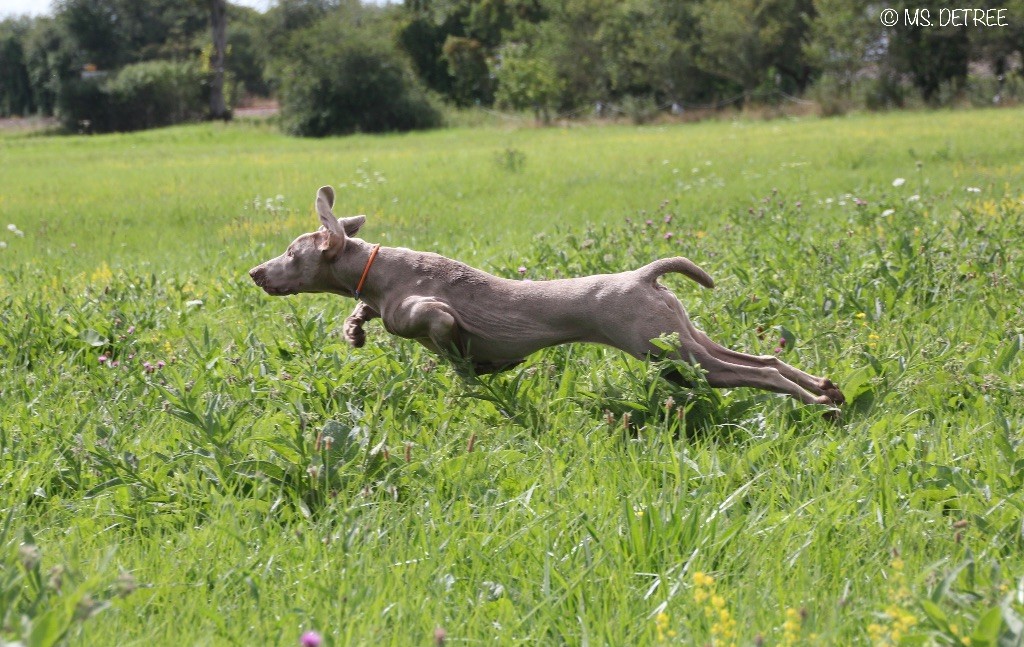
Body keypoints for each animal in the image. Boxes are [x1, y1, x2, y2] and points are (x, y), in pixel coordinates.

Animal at [251, 184, 843, 411]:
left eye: (290, 251)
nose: (255, 272)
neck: (378, 269)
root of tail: (644, 274)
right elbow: (364, 313)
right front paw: (354, 327)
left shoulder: (426, 312)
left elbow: (438, 326)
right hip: (682, 338)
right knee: (762, 359)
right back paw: (825, 388)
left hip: (666, 353)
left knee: (755, 373)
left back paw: (817, 402)